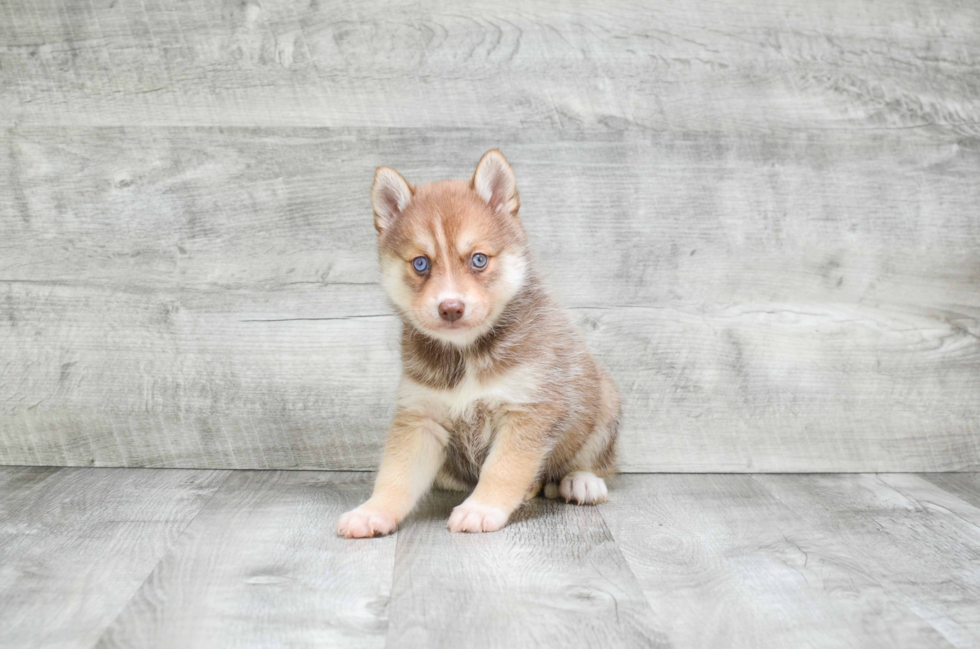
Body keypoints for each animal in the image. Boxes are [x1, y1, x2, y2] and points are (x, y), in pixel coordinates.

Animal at [336, 152, 620, 536]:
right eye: (420, 263)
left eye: (479, 259)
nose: (450, 307)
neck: (466, 354)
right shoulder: (421, 417)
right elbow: (395, 475)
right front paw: (372, 511)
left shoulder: (527, 411)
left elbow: (502, 469)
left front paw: (481, 508)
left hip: (604, 402)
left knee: (595, 463)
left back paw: (581, 481)